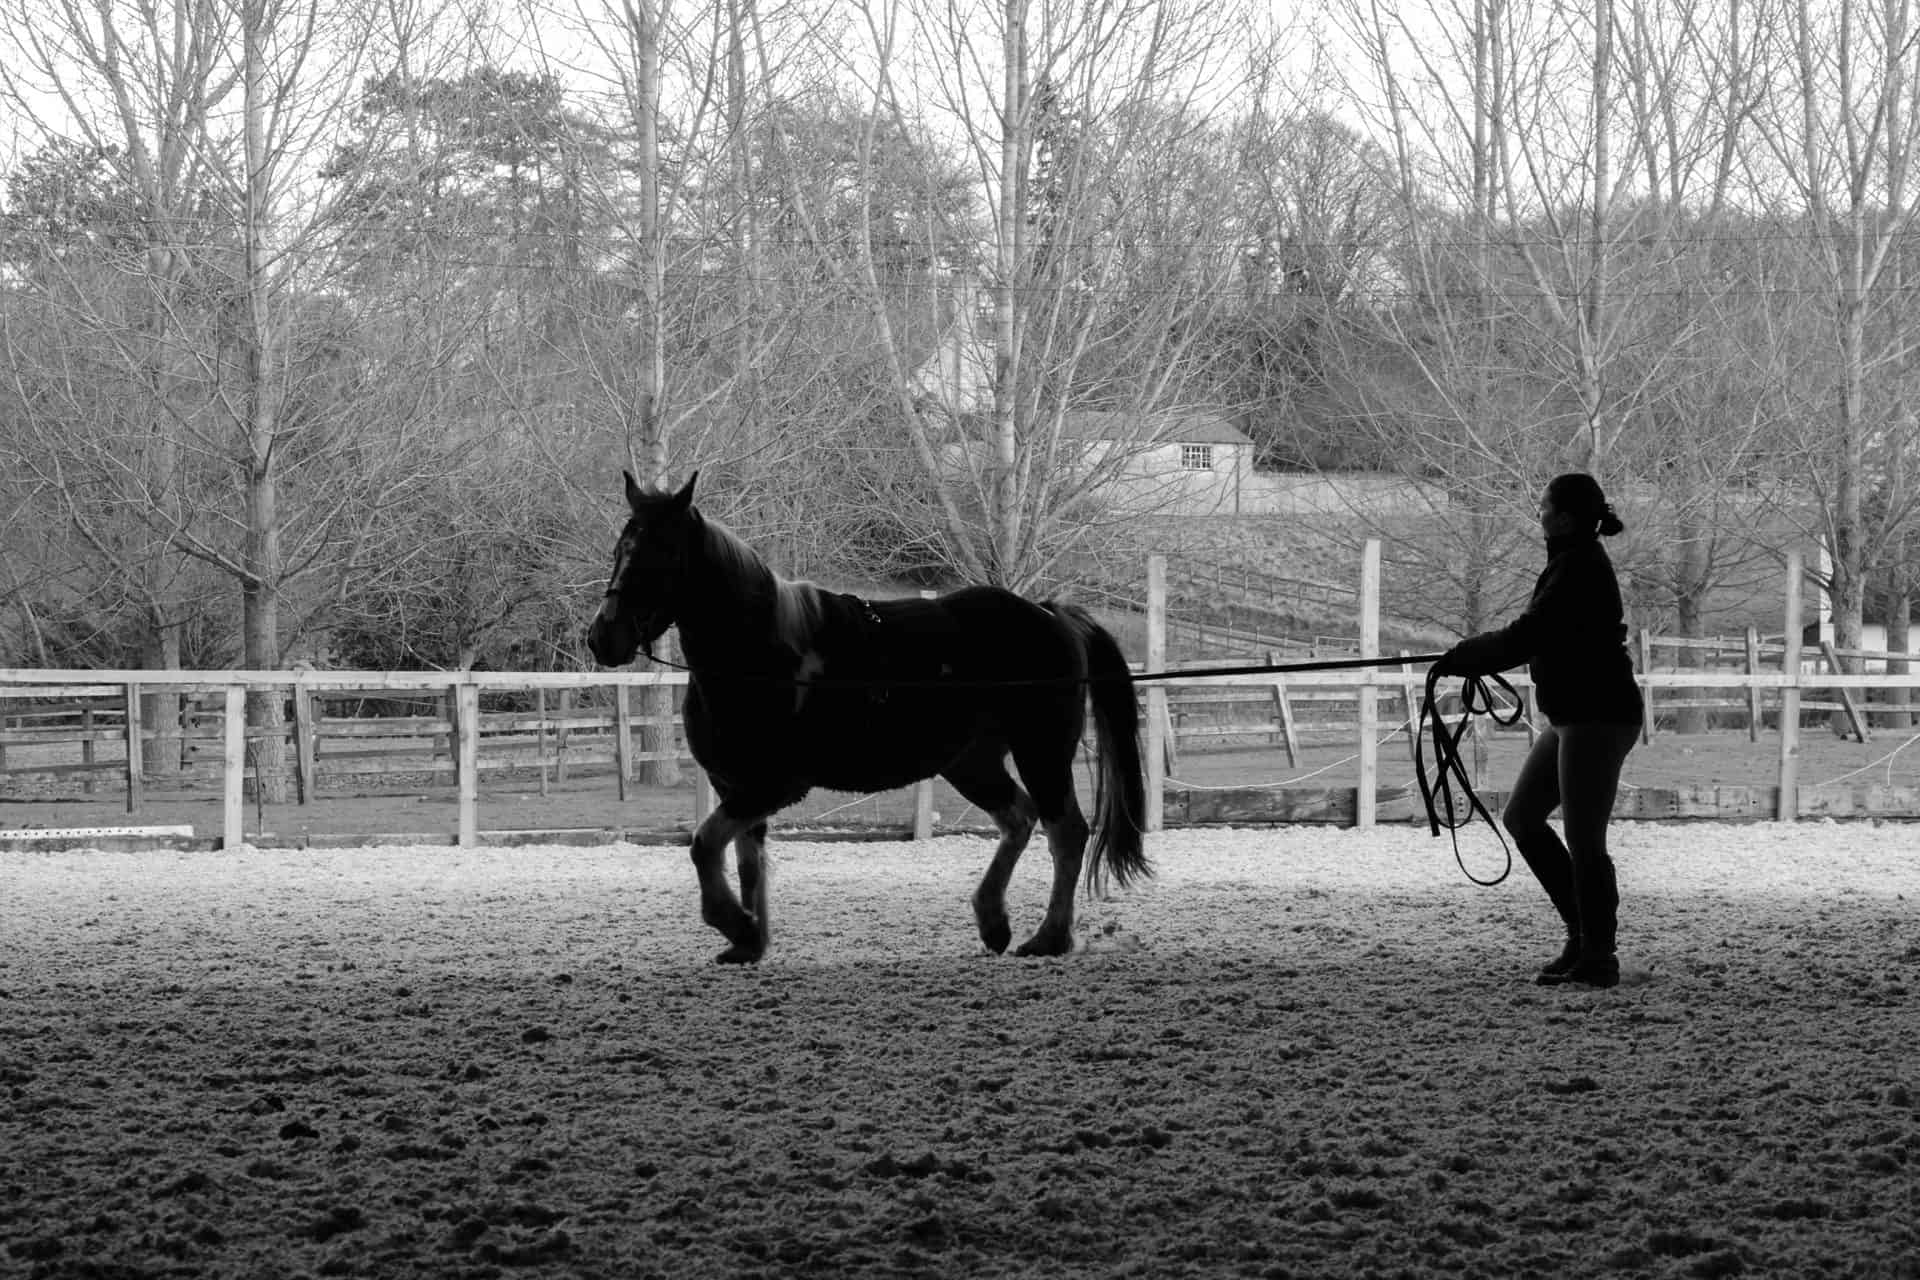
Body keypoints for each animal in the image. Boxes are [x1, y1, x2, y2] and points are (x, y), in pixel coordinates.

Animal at [586, 471, 1148, 964]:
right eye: (619, 551)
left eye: (661, 555)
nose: (603, 637)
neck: (761, 654)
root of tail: (1051, 614)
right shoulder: (736, 787)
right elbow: (746, 861)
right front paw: (749, 940)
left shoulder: (772, 786)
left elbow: (704, 847)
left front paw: (737, 925)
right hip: (971, 762)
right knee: (1019, 818)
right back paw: (993, 920)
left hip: (1042, 752)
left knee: (1065, 831)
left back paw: (1050, 936)